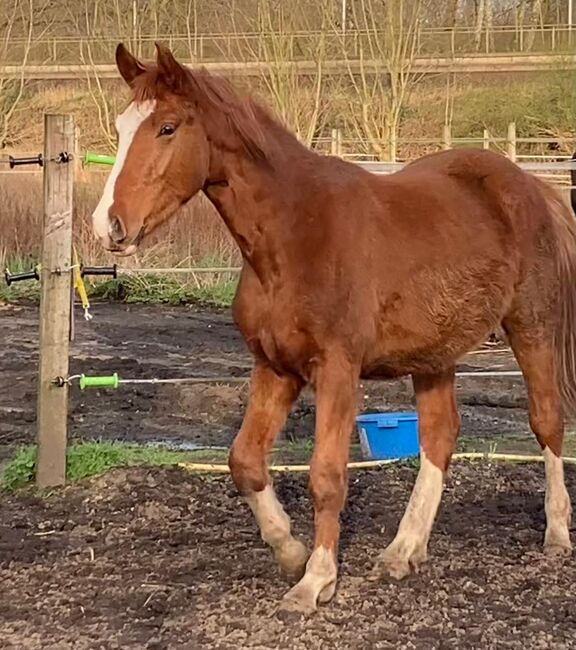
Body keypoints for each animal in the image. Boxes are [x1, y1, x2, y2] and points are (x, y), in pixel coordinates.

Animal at [92, 44, 572, 612]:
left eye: (167, 127)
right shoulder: (274, 368)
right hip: (435, 353)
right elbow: (244, 461)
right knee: (440, 435)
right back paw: (403, 551)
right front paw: (290, 550)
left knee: (546, 420)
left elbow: (326, 475)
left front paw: (315, 580)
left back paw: (556, 533)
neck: (294, 236)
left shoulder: (337, 370)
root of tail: (531, 185)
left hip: (532, 327)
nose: (109, 226)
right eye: (122, 126)